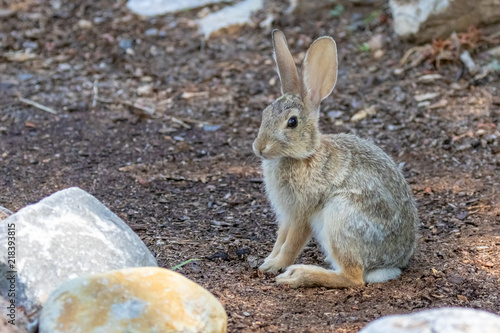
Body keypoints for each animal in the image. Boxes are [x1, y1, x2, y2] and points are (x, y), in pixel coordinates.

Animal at [252, 29, 420, 286]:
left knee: (353, 278)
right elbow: (280, 239)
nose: (259, 148)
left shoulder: (302, 213)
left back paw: (299, 275)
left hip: (340, 216)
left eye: (292, 122)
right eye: (265, 113)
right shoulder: (286, 215)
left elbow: (292, 243)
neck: (304, 155)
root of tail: (392, 263)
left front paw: (275, 266)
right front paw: (268, 260)